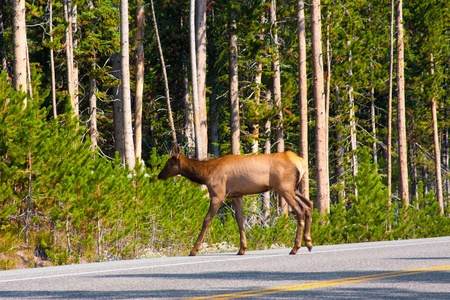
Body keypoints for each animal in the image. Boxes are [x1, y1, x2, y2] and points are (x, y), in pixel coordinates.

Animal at [158, 143, 312, 255]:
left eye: (168, 163)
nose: (159, 175)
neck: (206, 175)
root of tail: (301, 162)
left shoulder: (218, 194)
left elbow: (207, 219)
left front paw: (194, 250)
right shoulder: (237, 195)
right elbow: (239, 219)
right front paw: (242, 249)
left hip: (284, 187)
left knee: (299, 210)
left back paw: (295, 247)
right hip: (293, 188)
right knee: (308, 204)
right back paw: (309, 243)